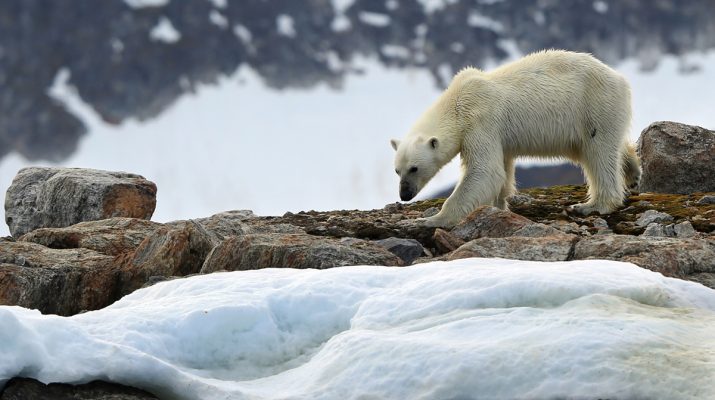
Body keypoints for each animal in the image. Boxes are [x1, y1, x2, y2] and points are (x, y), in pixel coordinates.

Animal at [392, 48, 644, 227]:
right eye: (397, 170)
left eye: (414, 168)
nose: (404, 194)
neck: (456, 102)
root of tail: (621, 79)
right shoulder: (496, 135)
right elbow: (502, 170)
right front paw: (497, 206)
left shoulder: (480, 122)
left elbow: (485, 171)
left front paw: (429, 220)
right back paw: (633, 173)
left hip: (594, 107)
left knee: (598, 153)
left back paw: (591, 205)